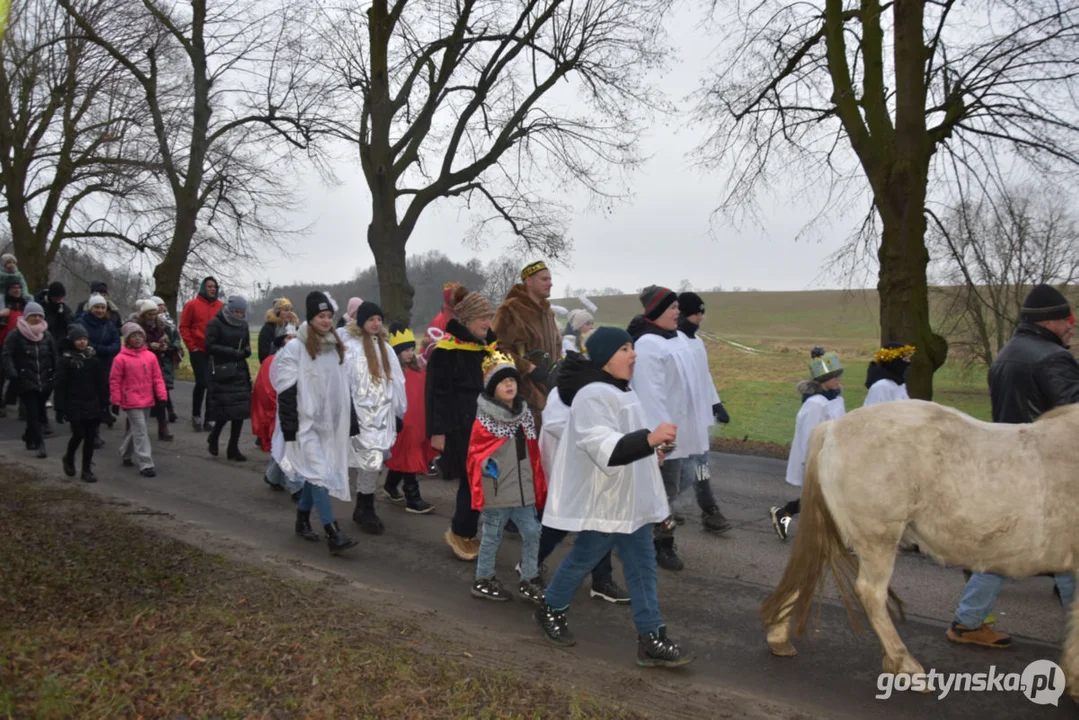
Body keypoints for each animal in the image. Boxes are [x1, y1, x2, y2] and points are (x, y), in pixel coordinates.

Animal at [759, 399, 1079, 699]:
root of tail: (833, 426)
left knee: (809, 567)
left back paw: (779, 637)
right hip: (879, 537)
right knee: (870, 593)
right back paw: (905, 665)